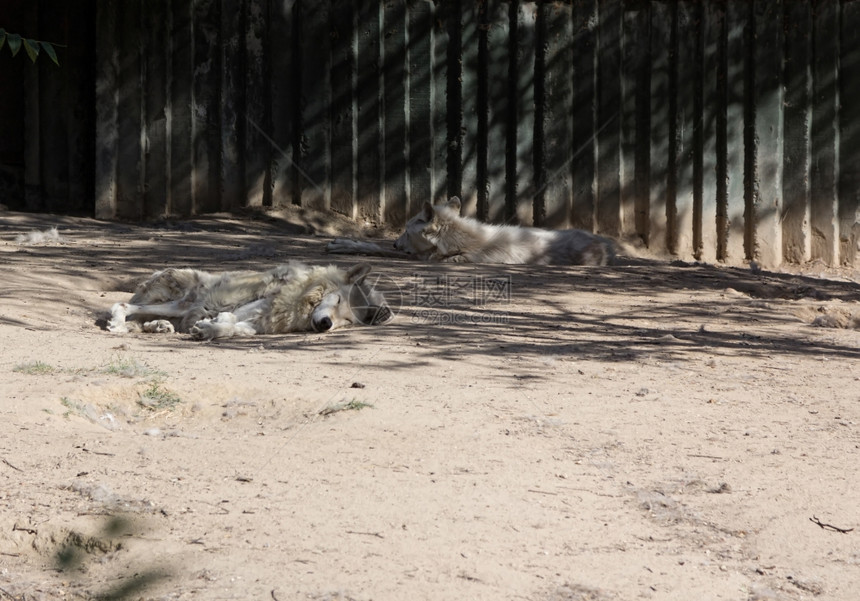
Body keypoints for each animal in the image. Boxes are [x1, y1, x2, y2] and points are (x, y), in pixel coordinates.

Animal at [105, 262, 396, 340]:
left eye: (346, 320)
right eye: (336, 301)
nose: (326, 324)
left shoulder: (262, 322)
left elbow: (233, 327)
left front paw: (209, 328)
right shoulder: (257, 307)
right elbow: (231, 319)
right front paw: (211, 325)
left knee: (144, 321)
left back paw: (160, 327)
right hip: (182, 302)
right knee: (124, 306)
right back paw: (117, 323)